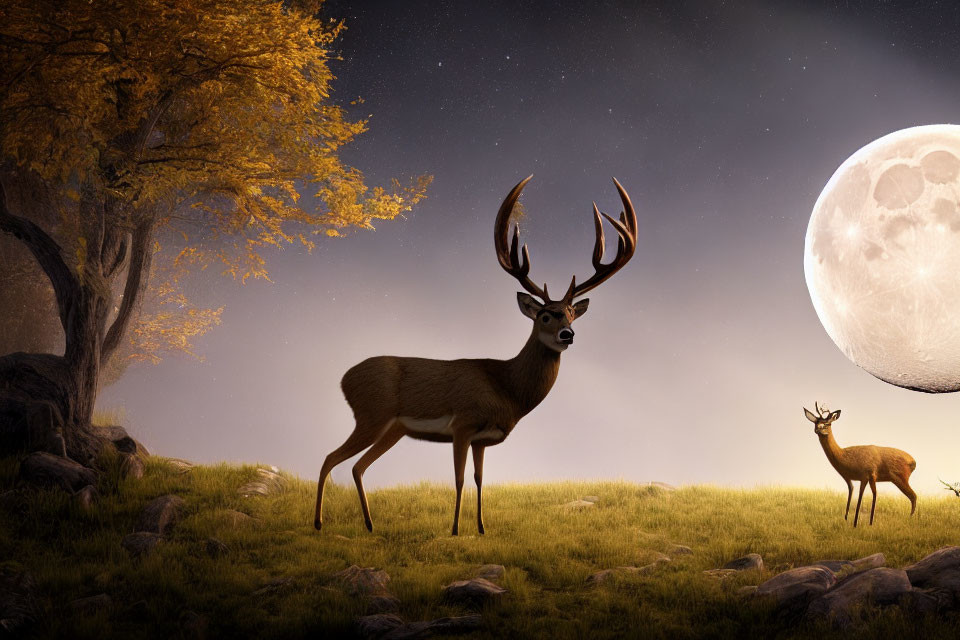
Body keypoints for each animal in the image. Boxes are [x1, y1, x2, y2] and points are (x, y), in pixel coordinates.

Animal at [316, 175, 640, 536]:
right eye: (545, 315)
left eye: (571, 313)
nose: (567, 334)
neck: (506, 388)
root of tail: (344, 378)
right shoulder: (463, 423)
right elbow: (458, 479)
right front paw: (456, 530)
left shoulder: (482, 439)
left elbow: (479, 479)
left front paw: (483, 528)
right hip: (371, 414)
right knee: (330, 458)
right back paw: (318, 523)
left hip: (393, 429)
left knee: (357, 466)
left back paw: (370, 525)